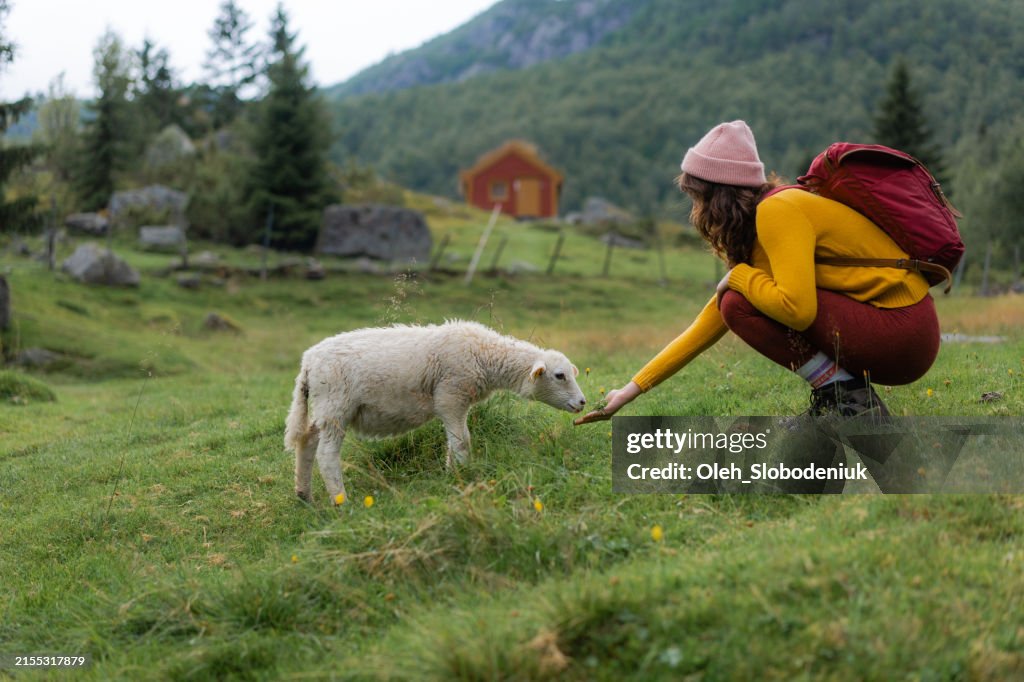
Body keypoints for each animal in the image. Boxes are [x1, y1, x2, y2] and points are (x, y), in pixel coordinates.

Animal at [284, 320, 587, 504]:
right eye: (559, 376)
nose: (583, 402)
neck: (485, 356)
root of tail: (307, 363)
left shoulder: (457, 403)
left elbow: (456, 441)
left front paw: (452, 473)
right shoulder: (451, 397)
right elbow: (462, 441)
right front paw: (464, 475)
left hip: (324, 408)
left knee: (307, 442)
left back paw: (304, 495)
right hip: (336, 406)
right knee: (326, 455)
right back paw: (341, 501)